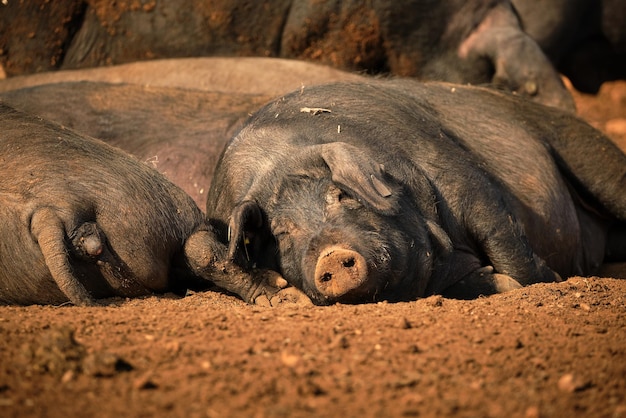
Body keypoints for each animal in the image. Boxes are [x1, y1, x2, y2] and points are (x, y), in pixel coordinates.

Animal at [207, 80, 624, 306]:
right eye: (281, 233)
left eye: (342, 195)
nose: (331, 255)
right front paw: (501, 285)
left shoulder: (462, 177)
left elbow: (505, 239)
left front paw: (550, 280)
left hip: (586, 151)